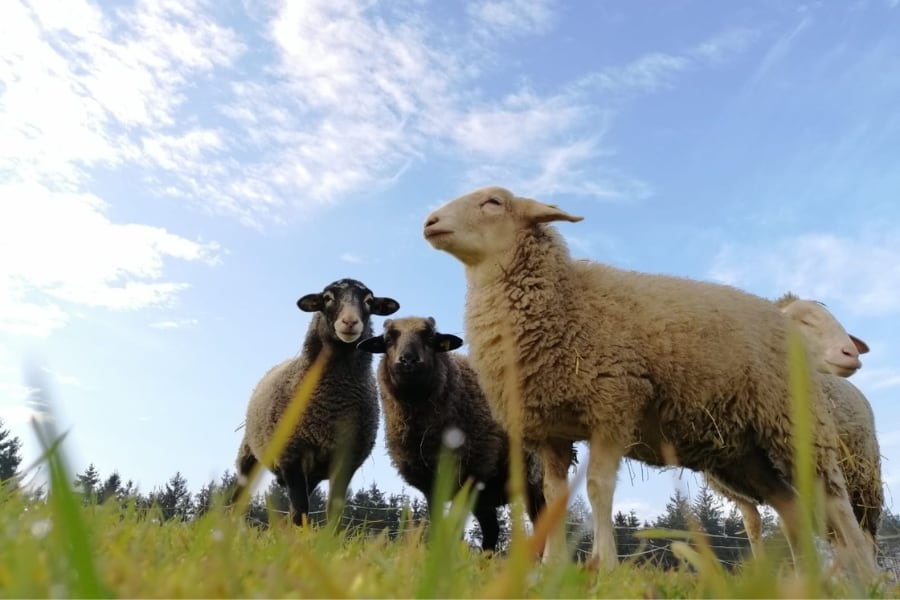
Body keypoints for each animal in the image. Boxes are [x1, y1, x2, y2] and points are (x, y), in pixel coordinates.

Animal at [234, 280, 400, 524]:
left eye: (369, 301)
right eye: (328, 298)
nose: (350, 322)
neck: (333, 401)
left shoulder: (346, 459)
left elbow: (334, 509)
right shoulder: (291, 456)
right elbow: (300, 510)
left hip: (311, 474)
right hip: (249, 454)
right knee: (238, 496)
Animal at [356, 316, 544, 552]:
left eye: (429, 337)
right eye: (388, 339)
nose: (408, 360)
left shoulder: (468, 475)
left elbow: (455, 529)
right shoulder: (431, 485)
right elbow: (439, 525)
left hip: (532, 480)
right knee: (492, 530)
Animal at [426, 184, 876, 576]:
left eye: (494, 202)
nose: (430, 221)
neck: (568, 299)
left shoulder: (614, 403)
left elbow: (598, 486)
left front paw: (604, 565)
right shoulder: (551, 429)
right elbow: (555, 498)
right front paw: (551, 567)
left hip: (799, 425)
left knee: (839, 506)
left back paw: (863, 575)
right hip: (742, 453)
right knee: (791, 507)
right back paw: (807, 580)